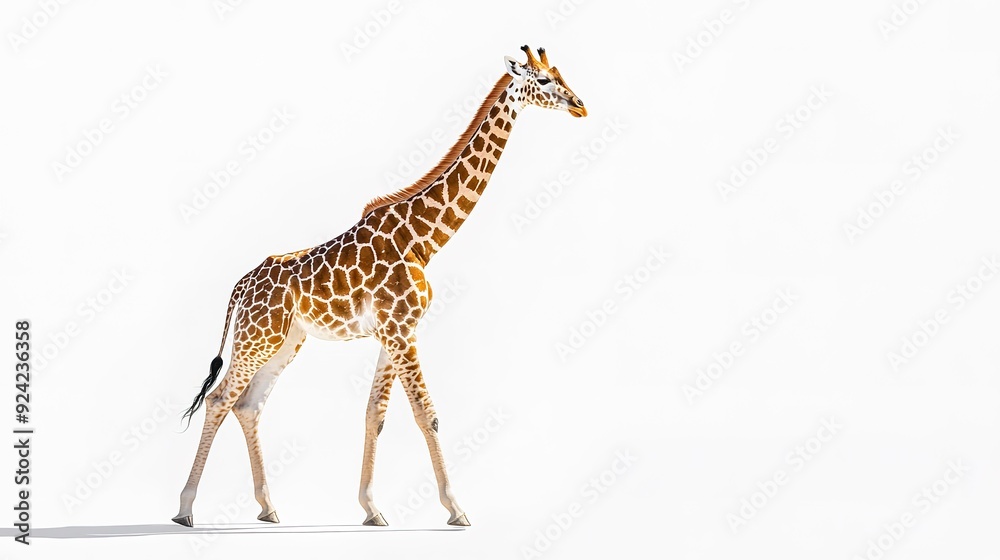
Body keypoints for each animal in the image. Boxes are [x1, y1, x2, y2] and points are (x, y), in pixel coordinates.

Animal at [173, 45, 586, 528]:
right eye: (542, 81)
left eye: (559, 73)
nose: (581, 106)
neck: (424, 238)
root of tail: (239, 286)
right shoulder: (401, 330)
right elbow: (427, 414)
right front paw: (456, 508)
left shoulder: (395, 331)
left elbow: (377, 413)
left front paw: (372, 508)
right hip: (258, 338)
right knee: (220, 399)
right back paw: (185, 509)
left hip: (285, 341)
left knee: (248, 405)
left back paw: (268, 507)